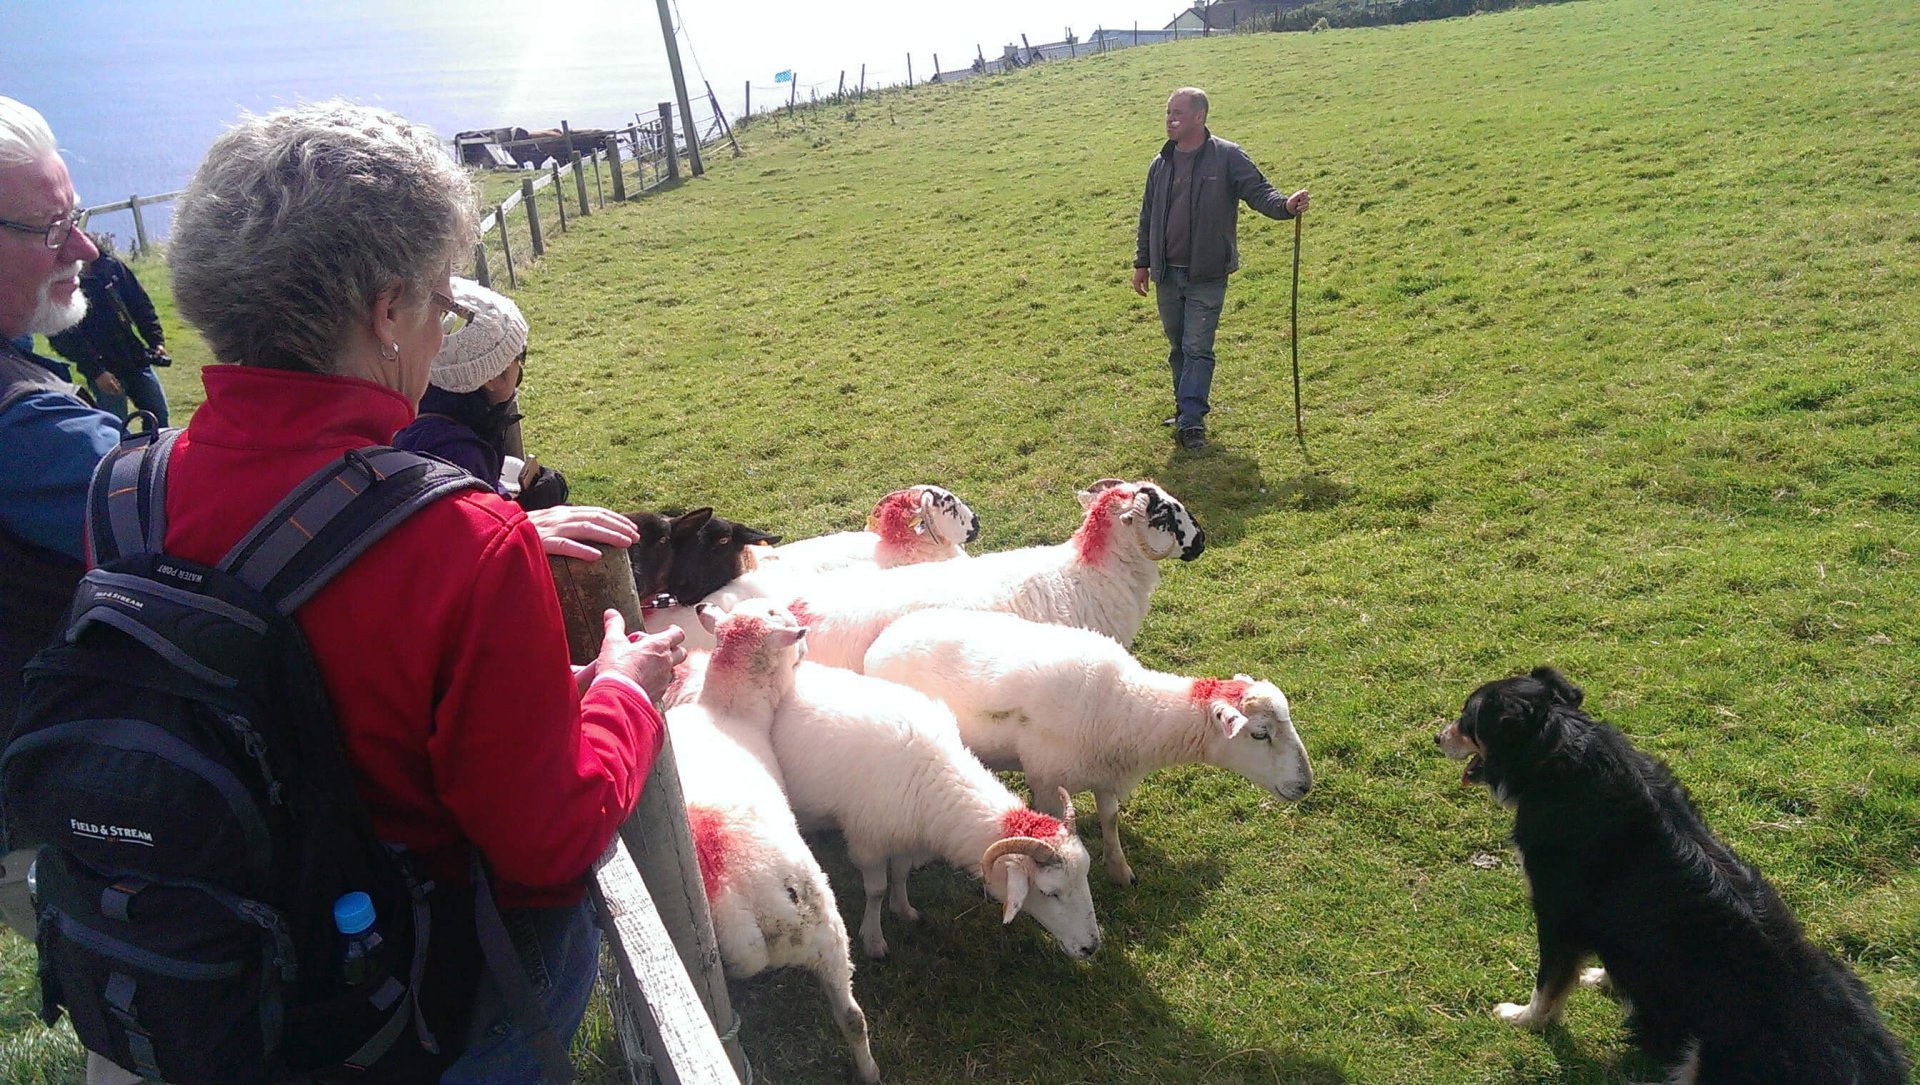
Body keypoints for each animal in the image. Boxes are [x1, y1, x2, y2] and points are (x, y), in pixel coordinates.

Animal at [664, 599, 879, 1083]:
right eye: (793, 628)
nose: (808, 647)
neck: (727, 712)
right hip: (826, 926)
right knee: (852, 1014)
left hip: (823, 931)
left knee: (851, 1017)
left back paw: (869, 1072)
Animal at [760, 664, 1098, 960]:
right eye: (1049, 892)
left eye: (1086, 877)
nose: (1091, 948)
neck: (931, 771)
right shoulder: (868, 841)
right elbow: (876, 890)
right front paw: (874, 940)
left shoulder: (906, 834)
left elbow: (900, 873)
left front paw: (904, 909)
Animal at [864, 606, 1313, 883]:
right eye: (1260, 733)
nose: (1305, 785)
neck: (1129, 706)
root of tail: (883, 640)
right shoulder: (1046, 780)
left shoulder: (1106, 773)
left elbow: (1110, 819)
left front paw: (1120, 870)